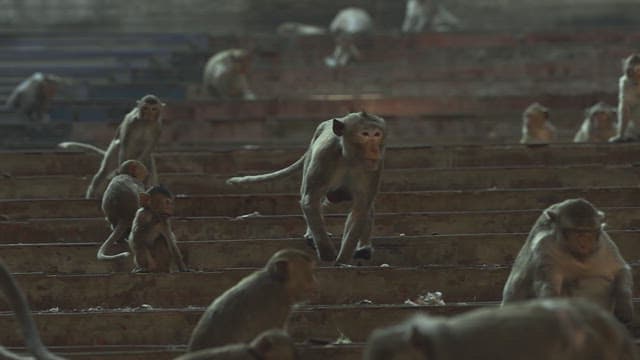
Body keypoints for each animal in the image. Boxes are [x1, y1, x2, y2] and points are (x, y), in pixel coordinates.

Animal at [225, 112, 384, 264]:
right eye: (365, 134)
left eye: (377, 134)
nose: (374, 150)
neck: (349, 158)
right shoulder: (324, 157)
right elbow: (310, 200)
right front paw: (327, 253)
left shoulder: (374, 167)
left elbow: (360, 209)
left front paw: (343, 259)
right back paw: (312, 235)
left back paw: (364, 248)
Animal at [502, 198, 632, 324]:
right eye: (577, 232)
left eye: (589, 232)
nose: (584, 244)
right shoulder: (545, 247)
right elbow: (548, 284)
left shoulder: (604, 244)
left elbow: (620, 270)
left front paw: (624, 304)